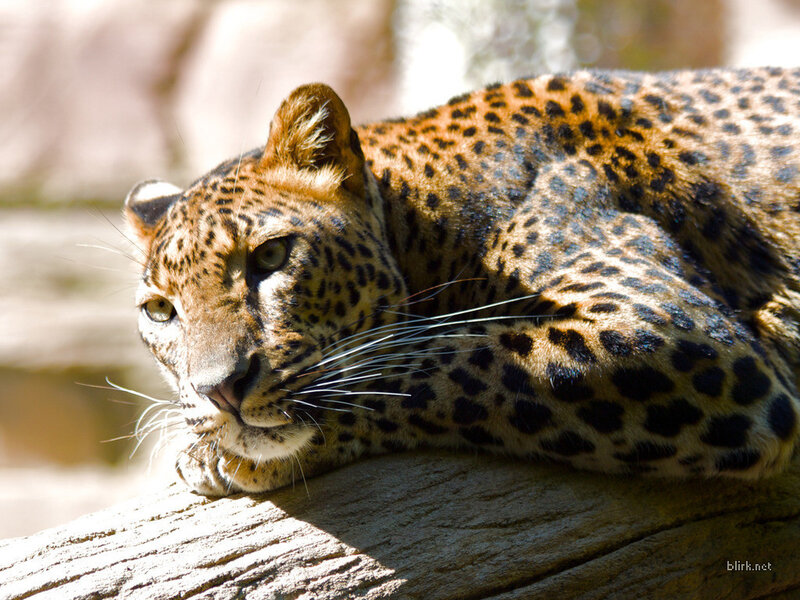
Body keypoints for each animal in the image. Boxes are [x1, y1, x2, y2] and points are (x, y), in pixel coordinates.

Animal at [124, 67, 800, 496]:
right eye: (160, 312)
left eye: (270, 256)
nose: (219, 391)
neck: (427, 217)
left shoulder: (671, 330)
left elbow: (448, 361)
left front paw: (220, 455)